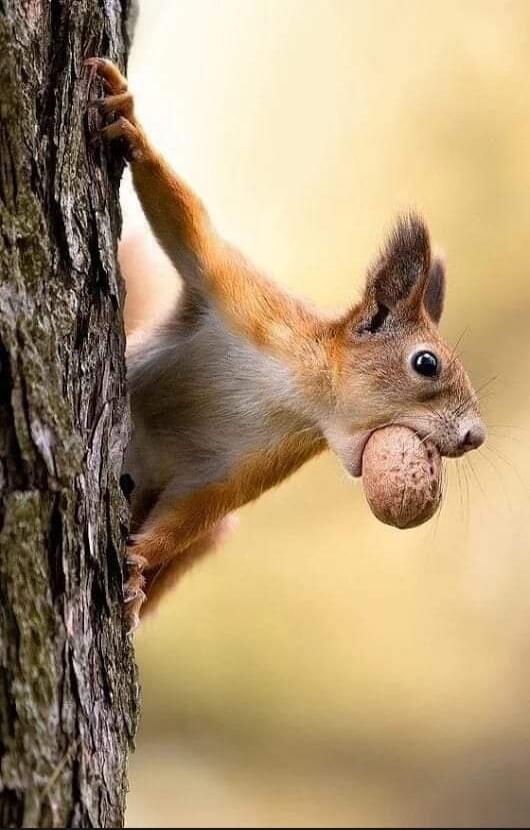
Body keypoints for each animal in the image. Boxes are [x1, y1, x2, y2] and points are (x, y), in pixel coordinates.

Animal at [85, 58, 486, 630]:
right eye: (426, 363)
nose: (476, 436)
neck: (299, 390)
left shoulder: (248, 466)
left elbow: (191, 513)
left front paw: (138, 565)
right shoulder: (244, 299)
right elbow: (189, 227)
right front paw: (132, 126)